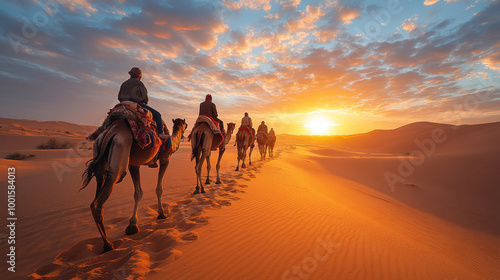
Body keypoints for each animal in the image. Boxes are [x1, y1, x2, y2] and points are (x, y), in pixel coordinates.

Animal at [82, 117, 188, 253]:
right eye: (185, 124)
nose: (186, 128)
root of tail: (110, 132)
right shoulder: (165, 159)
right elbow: (159, 189)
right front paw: (161, 214)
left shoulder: (134, 165)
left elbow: (138, 193)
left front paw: (132, 226)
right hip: (119, 153)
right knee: (97, 203)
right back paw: (108, 245)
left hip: (99, 158)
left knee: (99, 186)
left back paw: (106, 244)